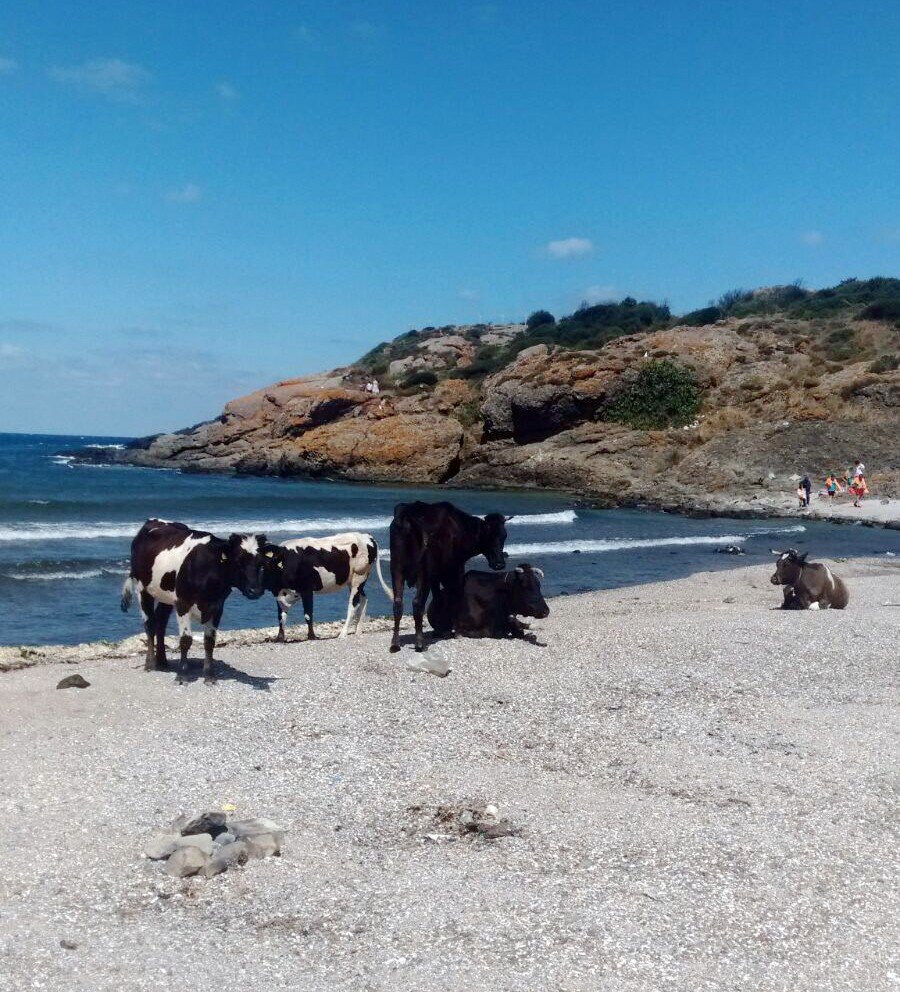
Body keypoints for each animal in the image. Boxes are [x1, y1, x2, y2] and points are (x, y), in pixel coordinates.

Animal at [121, 520, 268, 680]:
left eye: (261, 563)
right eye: (238, 560)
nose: (255, 591)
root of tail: (153, 521)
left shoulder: (217, 606)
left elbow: (209, 640)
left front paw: (209, 675)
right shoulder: (183, 603)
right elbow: (186, 640)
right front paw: (182, 675)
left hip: (166, 596)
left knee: (161, 622)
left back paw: (162, 661)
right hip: (142, 588)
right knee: (150, 624)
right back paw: (150, 663)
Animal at [382, 504, 506, 652]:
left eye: (504, 536)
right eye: (489, 536)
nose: (500, 564)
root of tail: (408, 512)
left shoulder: (436, 576)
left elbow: (438, 597)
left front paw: (440, 629)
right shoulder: (455, 569)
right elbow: (455, 596)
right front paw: (454, 629)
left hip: (396, 569)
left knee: (398, 603)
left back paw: (395, 644)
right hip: (423, 573)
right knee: (417, 603)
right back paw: (419, 643)